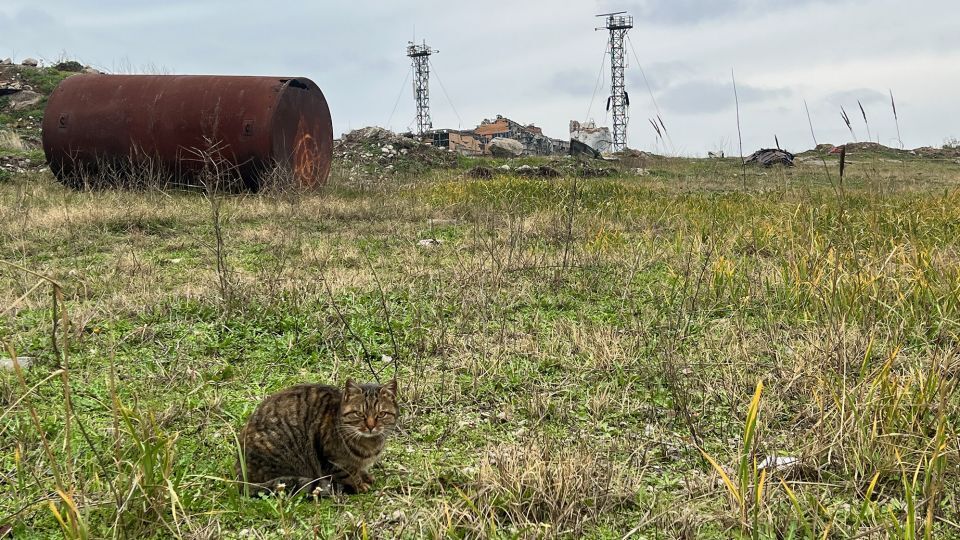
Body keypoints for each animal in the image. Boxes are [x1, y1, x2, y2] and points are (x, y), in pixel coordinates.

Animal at [238, 380, 400, 498]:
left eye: (381, 414)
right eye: (359, 414)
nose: (371, 426)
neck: (370, 443)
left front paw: (366, 476)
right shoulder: (333, 461)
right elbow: (349, 474)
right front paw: (359, 484)